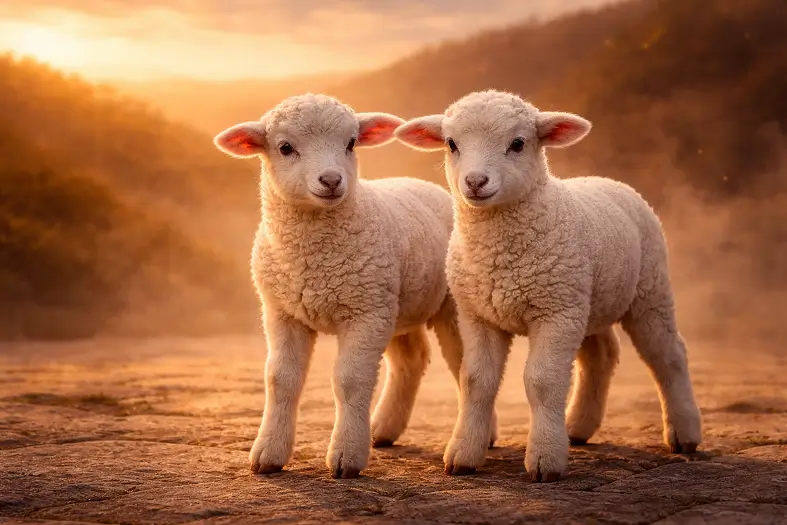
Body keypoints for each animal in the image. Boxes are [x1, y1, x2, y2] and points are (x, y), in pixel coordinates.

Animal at [213, 93, 495, 479]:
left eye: (350, 143)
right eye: (285, 147)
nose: (331, 180)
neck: (314, 260)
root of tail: (424, 184)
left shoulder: (365, 313)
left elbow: (350, 380)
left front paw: (346, 456)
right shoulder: (282, 312)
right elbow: (280, 380)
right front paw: (268, 454)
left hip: (443, 306)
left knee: (460, 363)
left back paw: (483, 437)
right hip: (397, 305)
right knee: (410, 360)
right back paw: (383, 430)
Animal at [394, 89, 703, 483]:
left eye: (518, 143)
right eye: (451, 144)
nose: (476, 182)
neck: (500, 254)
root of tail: (609, 180)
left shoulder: (555, 312)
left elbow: (542, 381)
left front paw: (545, 460)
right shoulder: (478, 315)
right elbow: (476, 380)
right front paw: (463, 455)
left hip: (648, 289)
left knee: (667, 354)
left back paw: (684, 433)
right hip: (588, 300)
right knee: (601, 355)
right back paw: (577, 427)